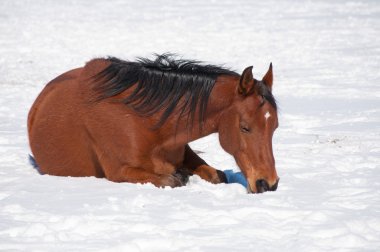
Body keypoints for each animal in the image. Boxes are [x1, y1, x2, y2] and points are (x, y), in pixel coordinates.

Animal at [28, 53, 280, 193]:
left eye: (275, 127)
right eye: (245, 127)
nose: (268, 184)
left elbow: (217, 175)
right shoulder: (120, 171)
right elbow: (172, 180)